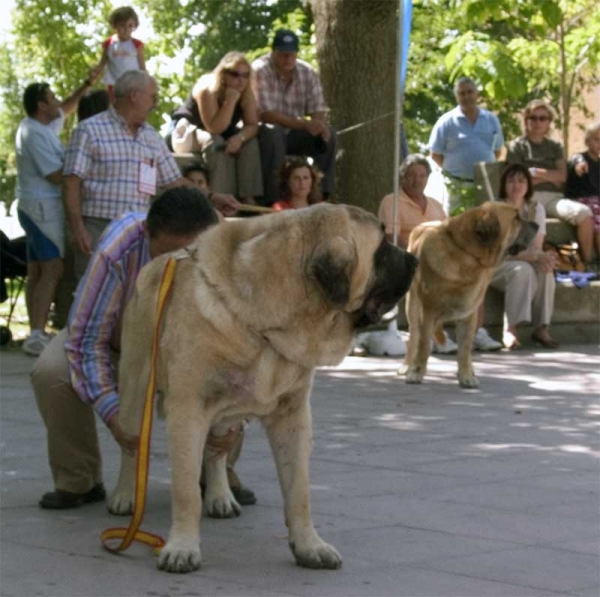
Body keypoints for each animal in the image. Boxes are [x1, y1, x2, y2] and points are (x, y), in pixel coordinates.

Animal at [400, 200, 536, 386]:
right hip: (413, 305)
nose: (537, 225)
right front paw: (416, 372)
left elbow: (465, 350)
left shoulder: (468, 314)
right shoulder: (427, 312)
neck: (466, 253)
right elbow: (424, 345)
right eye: (516, 218)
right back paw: (407, 366)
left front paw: (466, 376)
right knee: (414, 336)